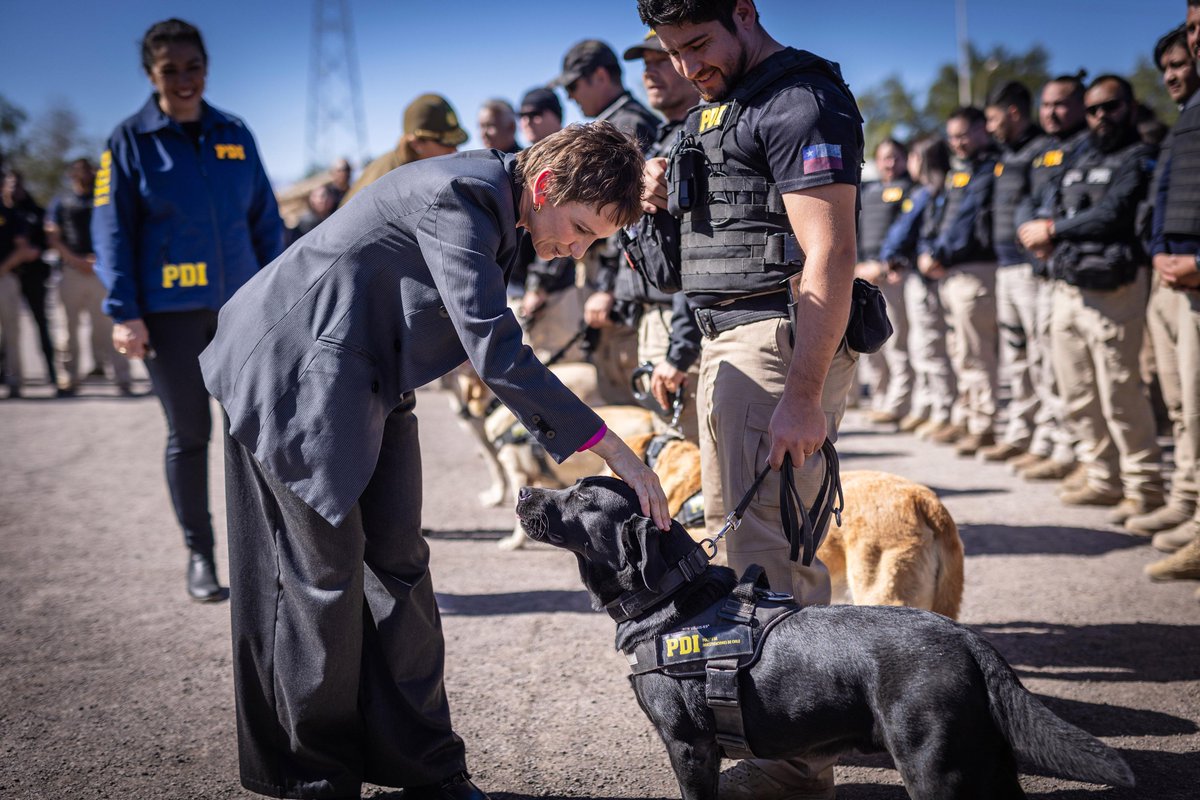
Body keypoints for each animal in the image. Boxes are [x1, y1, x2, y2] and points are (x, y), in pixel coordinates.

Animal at [516, 479, 1132, 796]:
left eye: (581, 498)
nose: (523, 491)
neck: (671, 599)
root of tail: (967, 641)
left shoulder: (689, 746)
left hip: (932, 764)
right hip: (980, 760)